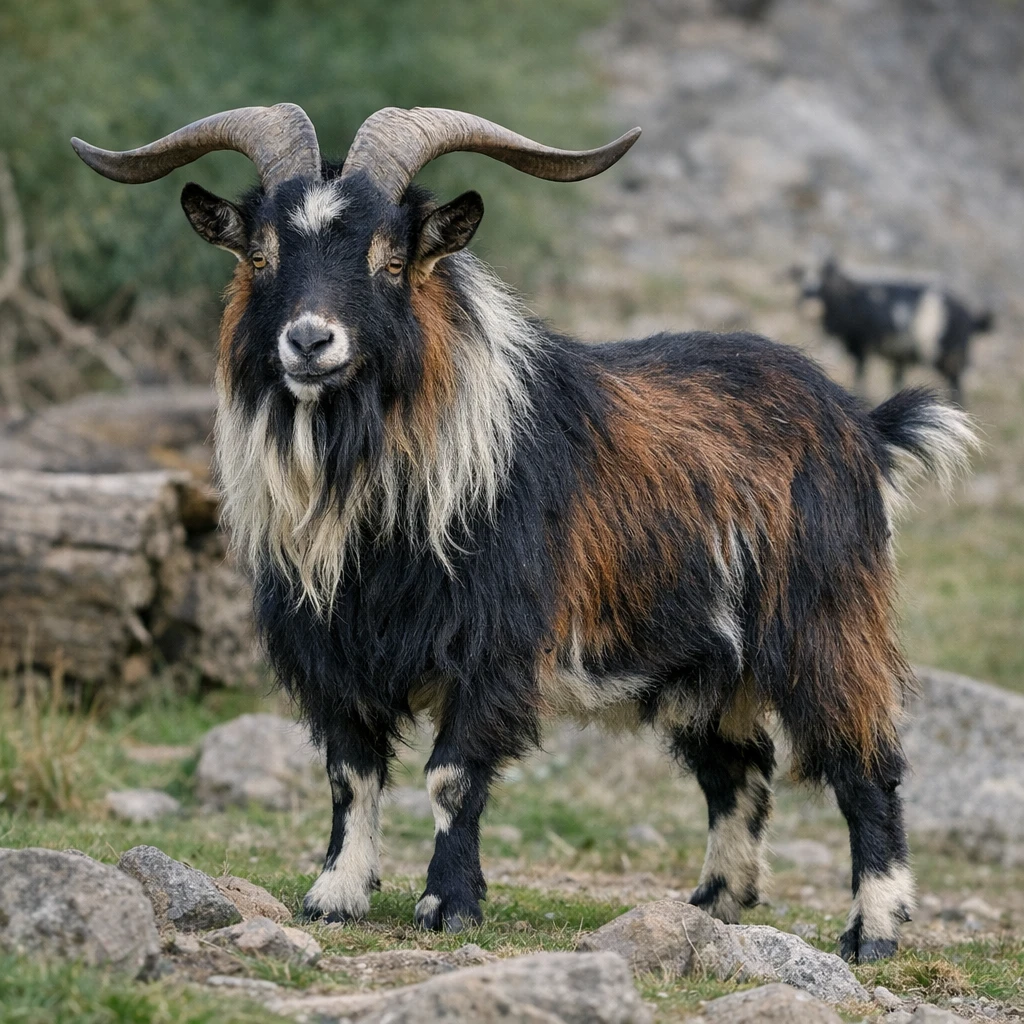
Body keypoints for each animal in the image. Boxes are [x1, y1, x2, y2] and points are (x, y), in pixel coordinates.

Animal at [796, 258, 993, 404]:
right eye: (802, 286)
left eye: (824, 283)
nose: (810, 309)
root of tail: (971, 316)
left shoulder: (862, 344)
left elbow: (860, 372)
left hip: (948, 355)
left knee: (957, 382)